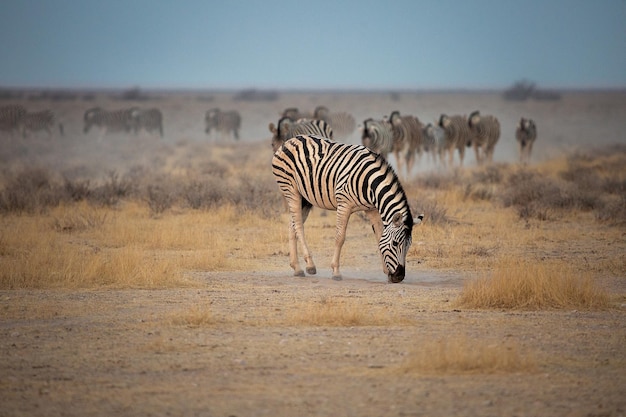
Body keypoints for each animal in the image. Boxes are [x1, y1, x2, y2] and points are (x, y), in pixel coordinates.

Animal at [270, 135, 422, 282]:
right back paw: (310, 266)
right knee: (299, 226)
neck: (369, 183)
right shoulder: (344, 204)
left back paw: (297, 268)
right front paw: (336, 272)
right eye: (395, 244)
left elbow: (379, 237)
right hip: (291, 190)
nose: (399, 277)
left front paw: (387, 271)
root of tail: (290, 140)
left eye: (409, 245)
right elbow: (340, 237)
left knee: (292, 226)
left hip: (305, 198)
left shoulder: (372, 209)